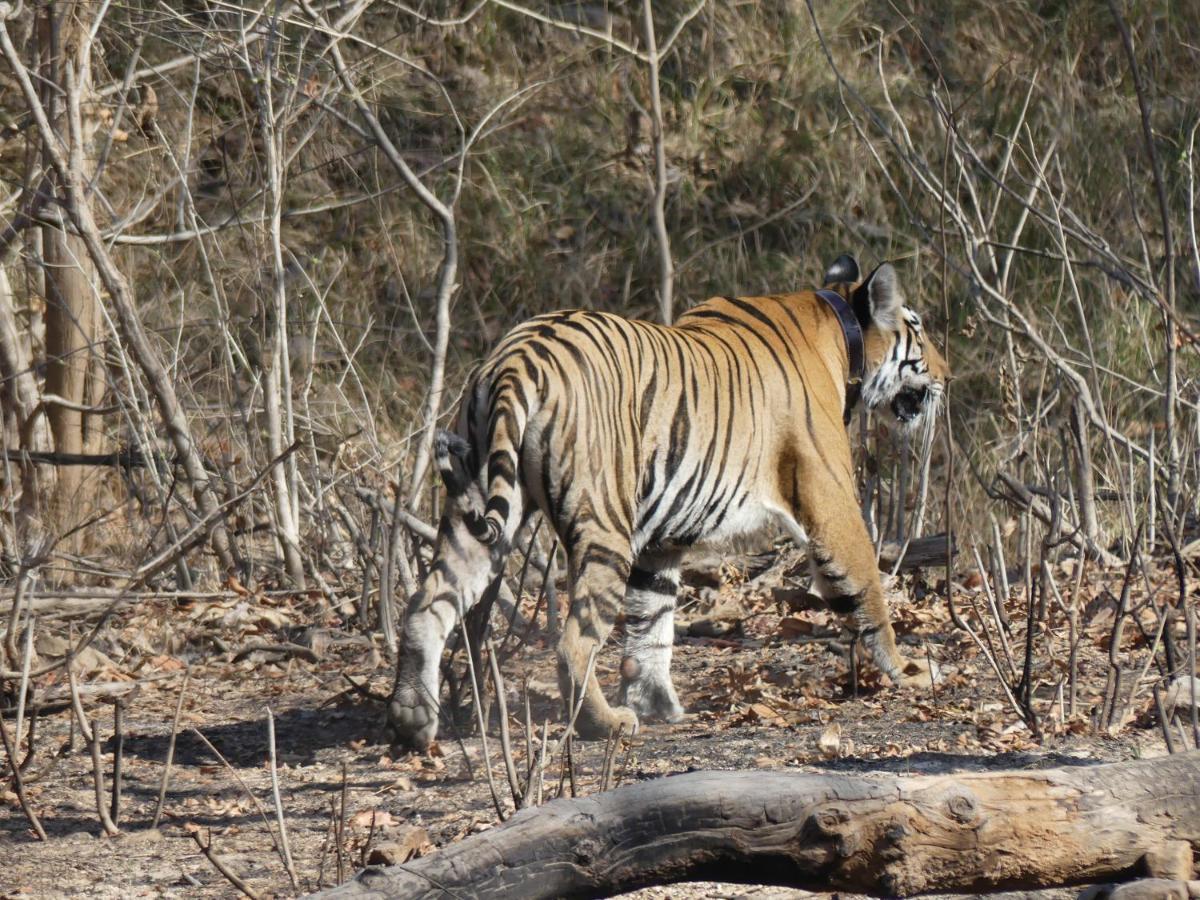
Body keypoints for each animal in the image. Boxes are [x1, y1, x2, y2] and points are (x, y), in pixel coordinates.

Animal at [388, 254, 950, 753]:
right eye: (919, 330)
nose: (949, 376)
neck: (837, 325)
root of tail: (515, 357)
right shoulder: (831, 500)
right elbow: (865, 587)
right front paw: (910, 671)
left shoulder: (662, 538)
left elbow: (650, 622)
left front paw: (658, 703)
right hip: (604, 524)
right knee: (574, 642)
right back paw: (606, 723)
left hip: (476, 510)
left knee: (424, 606)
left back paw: (413, 720)